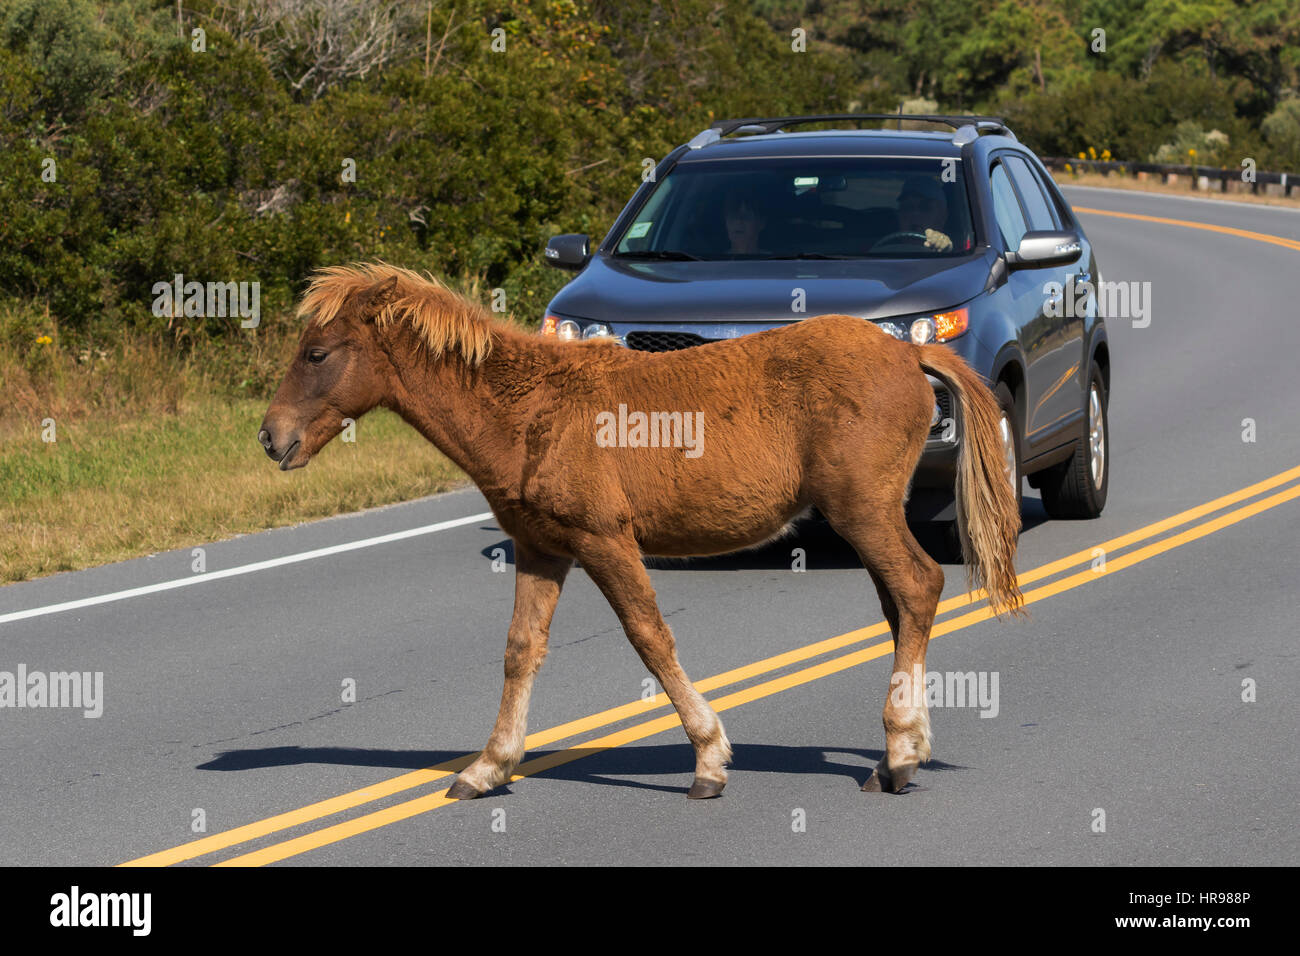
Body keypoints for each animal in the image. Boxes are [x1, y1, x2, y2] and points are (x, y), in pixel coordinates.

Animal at [256, 261, 1024, 801]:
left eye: (319, 353)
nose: (271, 438)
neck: (530, 411)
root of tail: (906, 356)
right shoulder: (542, 550)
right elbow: (521, 650)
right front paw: (489, 766)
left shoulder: (604, 541)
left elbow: (649, 637)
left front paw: (709, 758)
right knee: (900, 604)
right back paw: (907, 747)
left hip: (863, 511)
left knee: (918, 587)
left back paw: (897, 754)